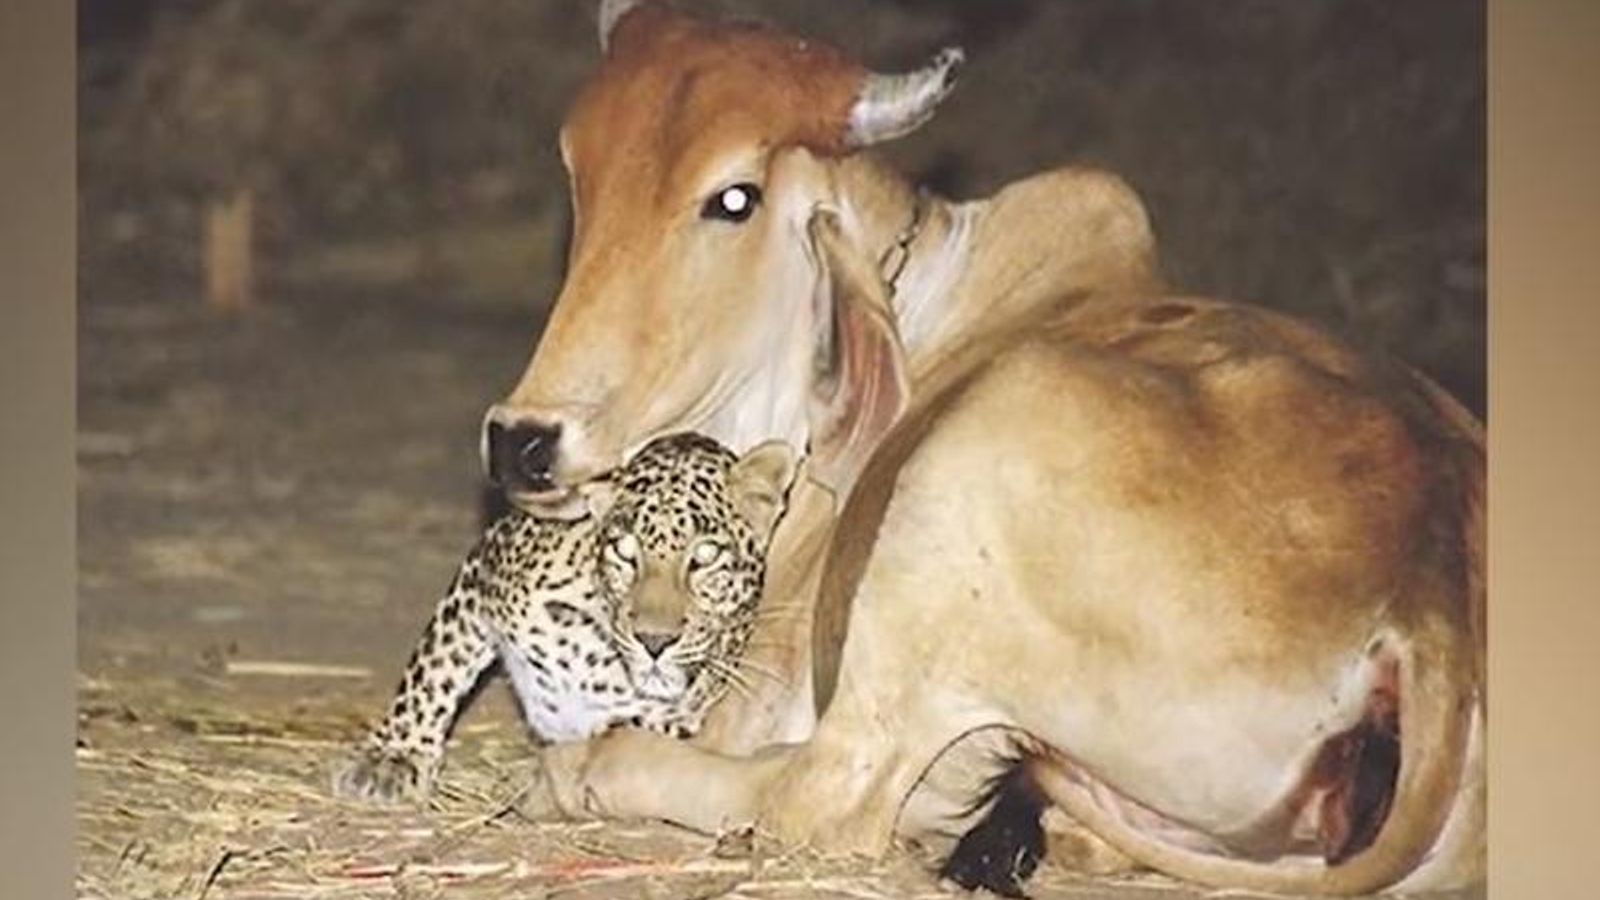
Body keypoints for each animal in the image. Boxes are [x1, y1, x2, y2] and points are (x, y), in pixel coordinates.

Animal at [332, 432, 797, 804]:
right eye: (624, 551)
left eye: (706, 555)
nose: (654, 641)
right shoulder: (484, 568)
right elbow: (434, 670)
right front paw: (393, 758)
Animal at [479, 1, 1485, 894]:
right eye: (578, 168)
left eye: (735, 198)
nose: (524, 441)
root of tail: (1428, 605)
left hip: (956, 496)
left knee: (821, 795)